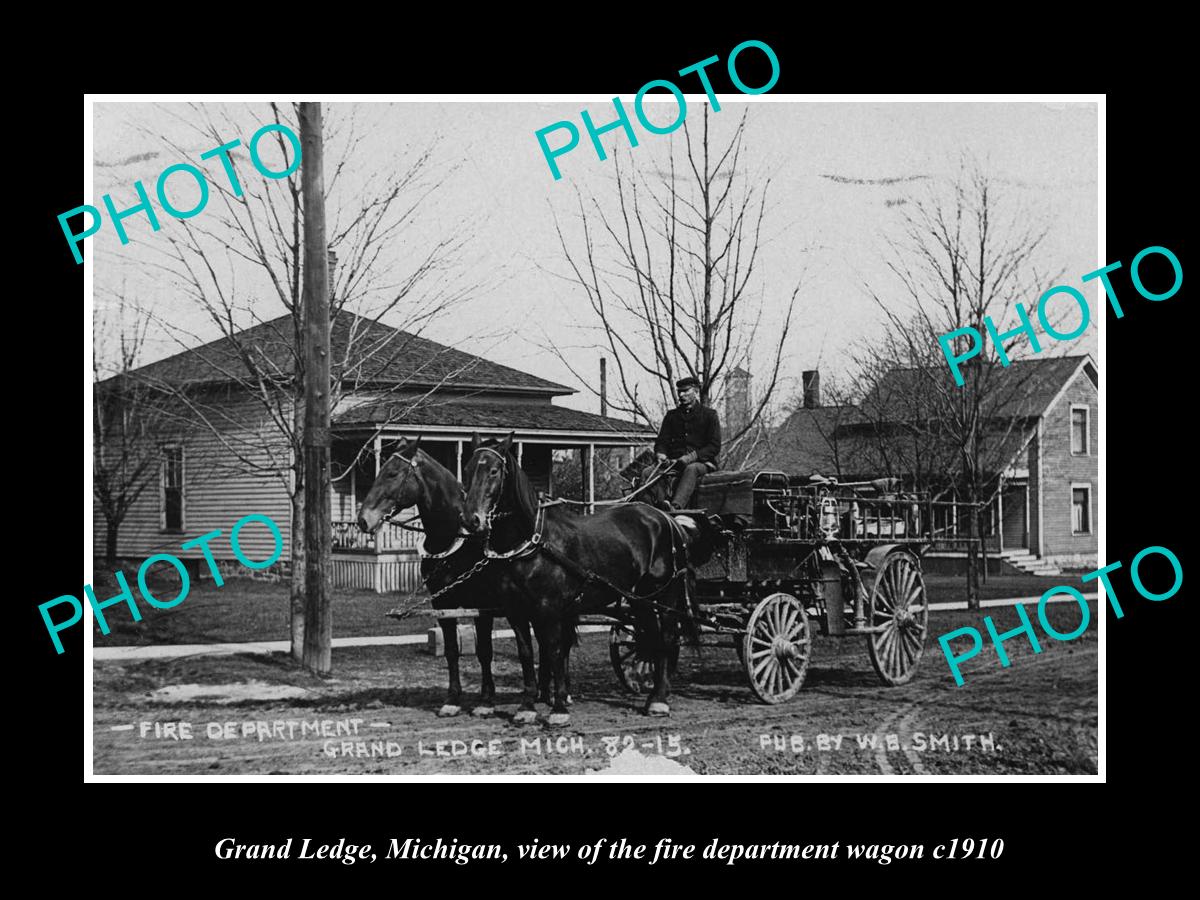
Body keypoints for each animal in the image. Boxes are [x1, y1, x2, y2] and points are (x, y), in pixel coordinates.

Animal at [460, 432, 700, 724]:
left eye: (494, 471)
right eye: (467, 469)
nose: (471, 519)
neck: (534, 543)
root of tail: (666, 518)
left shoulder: (550, 610)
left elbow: (554, 651)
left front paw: (559, 708)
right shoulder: (516, 611)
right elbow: (526, 653)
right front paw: (527, 706)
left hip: (663, 593)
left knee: (666, 637)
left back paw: (660, 700)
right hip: (640, 598)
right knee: (650, 638)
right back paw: (653, 694)